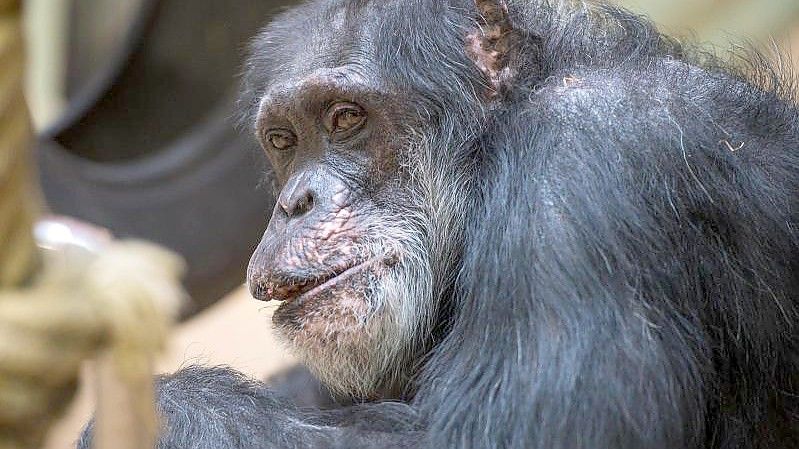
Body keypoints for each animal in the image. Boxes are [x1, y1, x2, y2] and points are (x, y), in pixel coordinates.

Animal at [79, 0, 799, 448]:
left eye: (345, 117)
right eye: (284, 141)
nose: (295, 201)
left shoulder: (584, 166)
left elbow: (501, 436)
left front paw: (162, 411)